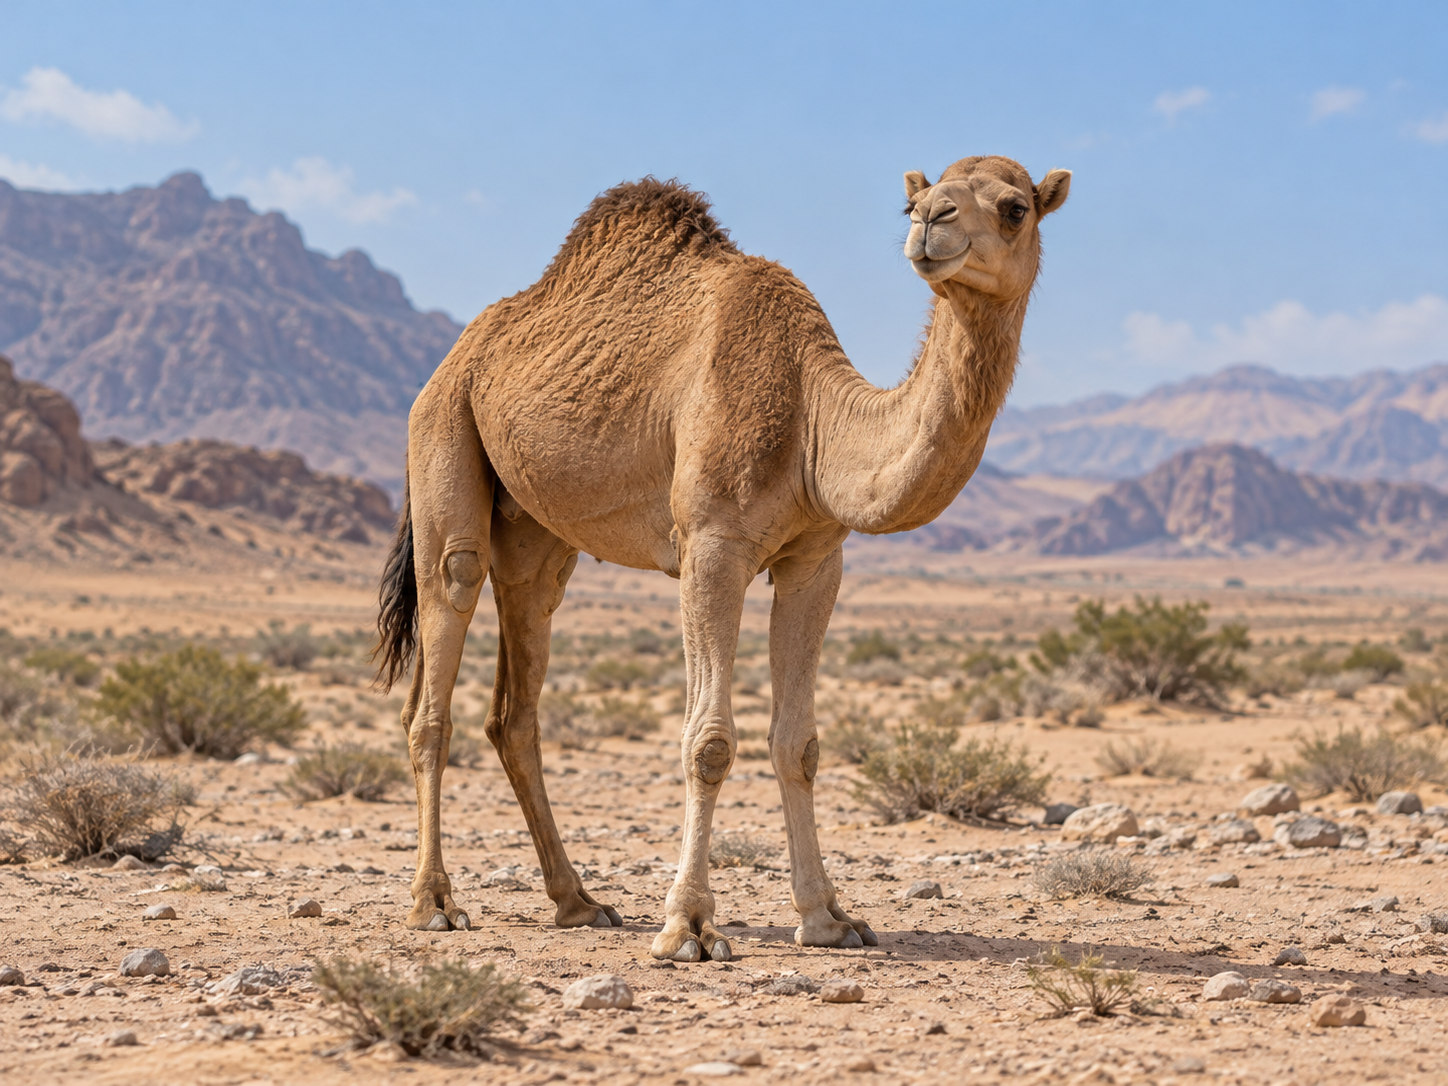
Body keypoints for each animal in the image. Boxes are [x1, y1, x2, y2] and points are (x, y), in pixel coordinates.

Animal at [374, 154, 1070, 961]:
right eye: (913, 204)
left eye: (1016, 207)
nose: (935, 223)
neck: (810, 417)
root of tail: (453, 357)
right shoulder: (711, 544)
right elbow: (707, 742)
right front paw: (690, 926)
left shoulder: (815, 560)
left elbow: (799, 743)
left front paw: (827, 917)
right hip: (443, 435)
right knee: (440, 653)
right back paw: (434, 902)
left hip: (535, 532)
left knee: (518, 691)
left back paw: (578, 900)